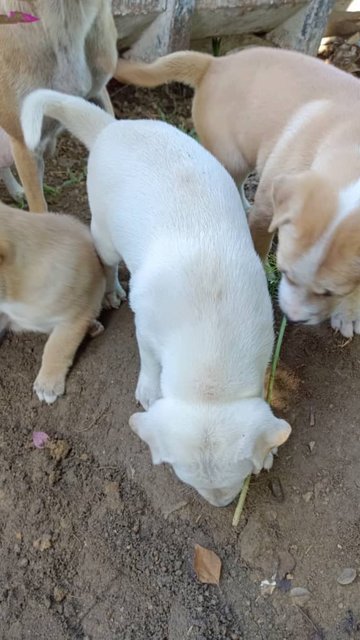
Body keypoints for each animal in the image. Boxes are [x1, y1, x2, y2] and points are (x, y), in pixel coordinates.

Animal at [21, 90, 292, 508]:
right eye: (187, 480)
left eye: (238, 480)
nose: (220, 506)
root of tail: (112, 127)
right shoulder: (146, 329)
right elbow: (149, 362)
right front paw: (148, 391)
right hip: (104, 233)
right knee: (108, 262)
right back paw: (112, 290)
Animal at [114, 48, 360, 340]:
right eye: (284, 272)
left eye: (330, 292)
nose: (293, 318)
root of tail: (214, 62)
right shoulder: (266, 209)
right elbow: (260, 244)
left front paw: (349, 313)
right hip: (232, 156)